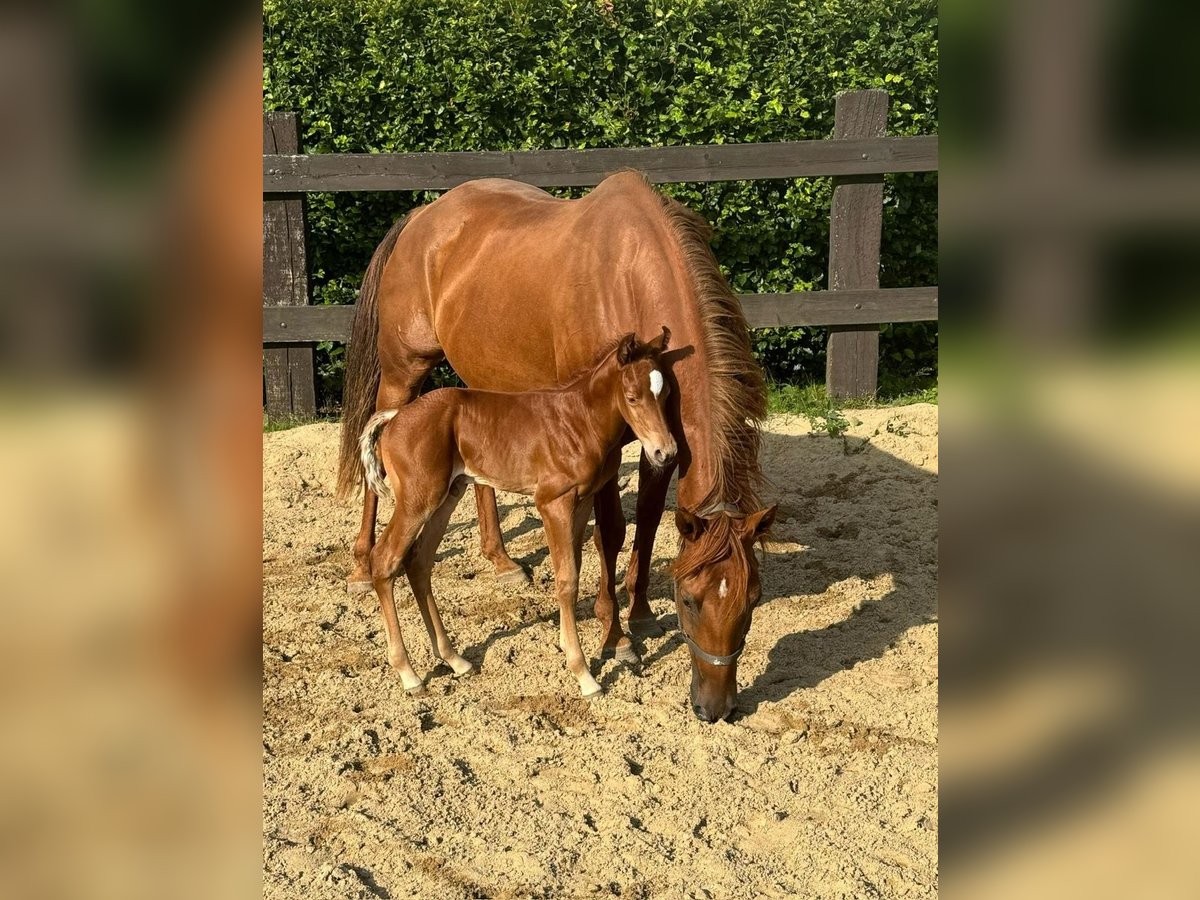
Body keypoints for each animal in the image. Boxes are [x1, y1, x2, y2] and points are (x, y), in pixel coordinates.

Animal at [357, 330, 676, 697]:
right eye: (632, 397)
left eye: (666, 394)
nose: (665, 452)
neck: (580, 419)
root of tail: (395, 417)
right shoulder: (552, 502)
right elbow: (567, 580)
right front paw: (583, 674)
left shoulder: (581, 502)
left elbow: (574, 567)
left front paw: (568, 649)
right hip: (417, 500)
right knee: (385, 560)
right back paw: (408, 674)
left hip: (448, 495)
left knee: (418, 562)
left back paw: (455, 660)